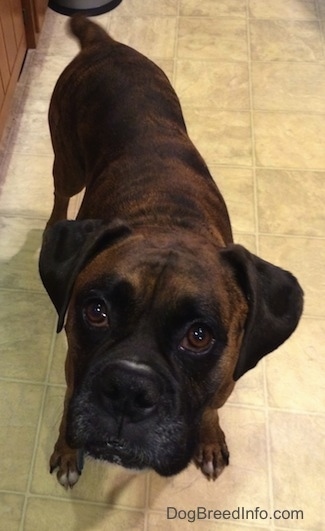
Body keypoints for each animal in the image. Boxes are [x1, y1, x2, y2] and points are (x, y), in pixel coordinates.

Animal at [39, 15, 302, 490]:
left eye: (199, 336)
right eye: (96, 311)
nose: (128, 389)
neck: (170, 224)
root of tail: (103, 44)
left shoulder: (223, 380)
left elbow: (212, 405)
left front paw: (210, 439)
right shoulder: (74, 365)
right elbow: (69, 400)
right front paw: (67, 451)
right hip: (68, 162)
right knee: (60, 195)